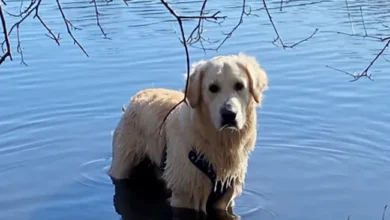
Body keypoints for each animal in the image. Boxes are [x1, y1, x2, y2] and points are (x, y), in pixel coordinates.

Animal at [106, 52, 268, 215]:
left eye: (239, 86)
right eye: (213, 88)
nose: (229, 114)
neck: (219, 142)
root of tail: (136, 98)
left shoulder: (226, 196)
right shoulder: (184, 194)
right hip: (123, 161)